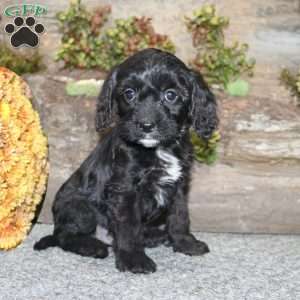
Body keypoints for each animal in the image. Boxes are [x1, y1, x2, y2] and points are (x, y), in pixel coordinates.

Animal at [34, 47, 218, 274]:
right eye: (129, 94)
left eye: (171, 95)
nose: (146, 125)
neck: (158, 149)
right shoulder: (125, 189)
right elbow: (128, 227)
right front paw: (133, 259)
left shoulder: (179, 186)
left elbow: (180, 216)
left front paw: (185, 243)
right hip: (80, 208)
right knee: (65, 235)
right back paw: (93, 247)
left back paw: (154, 235)